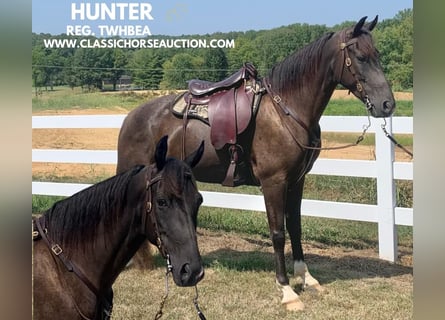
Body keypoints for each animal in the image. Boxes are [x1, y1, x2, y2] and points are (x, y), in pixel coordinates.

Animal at [116, 16, 394, 310]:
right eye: (361, 57)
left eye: (378, 55)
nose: (387, 105)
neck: (286, 110)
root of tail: (132, 117)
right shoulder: (274, 183)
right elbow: (278, 233)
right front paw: (287, 290)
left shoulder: (296, 181)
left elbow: (295, 228)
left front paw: (306, 278)